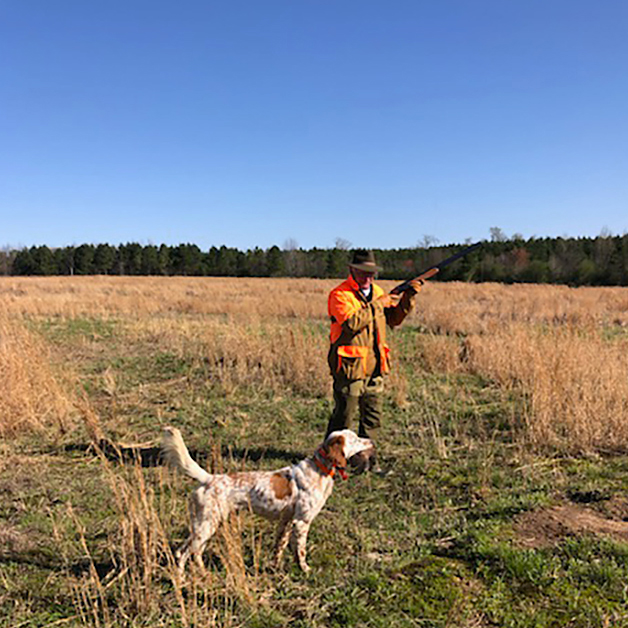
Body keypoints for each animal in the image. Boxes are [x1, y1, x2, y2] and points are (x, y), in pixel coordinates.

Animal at [162, 426, 372, 576]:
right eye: (355, 439)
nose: (370, 440)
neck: (319, 468)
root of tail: (209, 478)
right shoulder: (302, 522)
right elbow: (301, 551)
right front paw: (305, 569)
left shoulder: (286, 521)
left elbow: (279, 547)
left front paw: (274, 567)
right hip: (206, 525)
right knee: (182, 553)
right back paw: (181, 580)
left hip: (207, 524)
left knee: (195, 552)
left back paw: (204, 574)